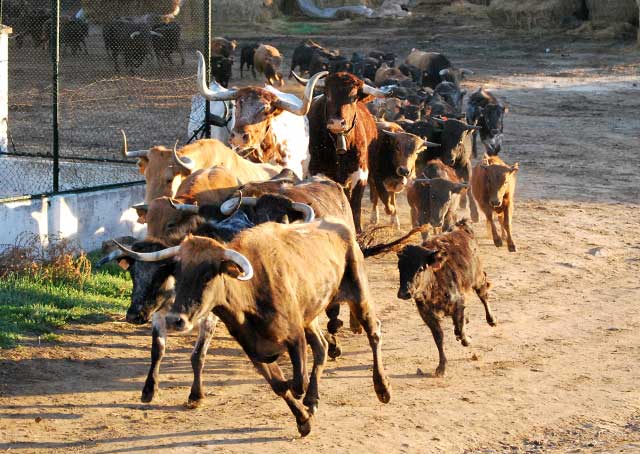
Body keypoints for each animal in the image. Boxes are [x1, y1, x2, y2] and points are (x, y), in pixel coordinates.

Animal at [162, 220, 390, 436]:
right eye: (178, 273)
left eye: (208, 275)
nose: (176, 320)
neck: (252, 292)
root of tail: (342, 227)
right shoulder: (254, 350)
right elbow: (279, 385)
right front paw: (303, 419)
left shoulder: (295, 337)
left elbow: (297, 384)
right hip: (310, 315)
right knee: (322, 347)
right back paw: (312, 399)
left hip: (359, 297)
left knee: (374, 333)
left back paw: (382, 387)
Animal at [398, 220, 498, 376]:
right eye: (399, 267)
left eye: (420, 268)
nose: (404, 293)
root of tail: (461, 227)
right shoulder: (426, 314)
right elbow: (439, 337)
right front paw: (441, 367)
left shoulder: (458, 302)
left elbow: (460, 330)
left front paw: (467, 339)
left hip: (478, 277)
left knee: (483, 294)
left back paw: (491, 320)